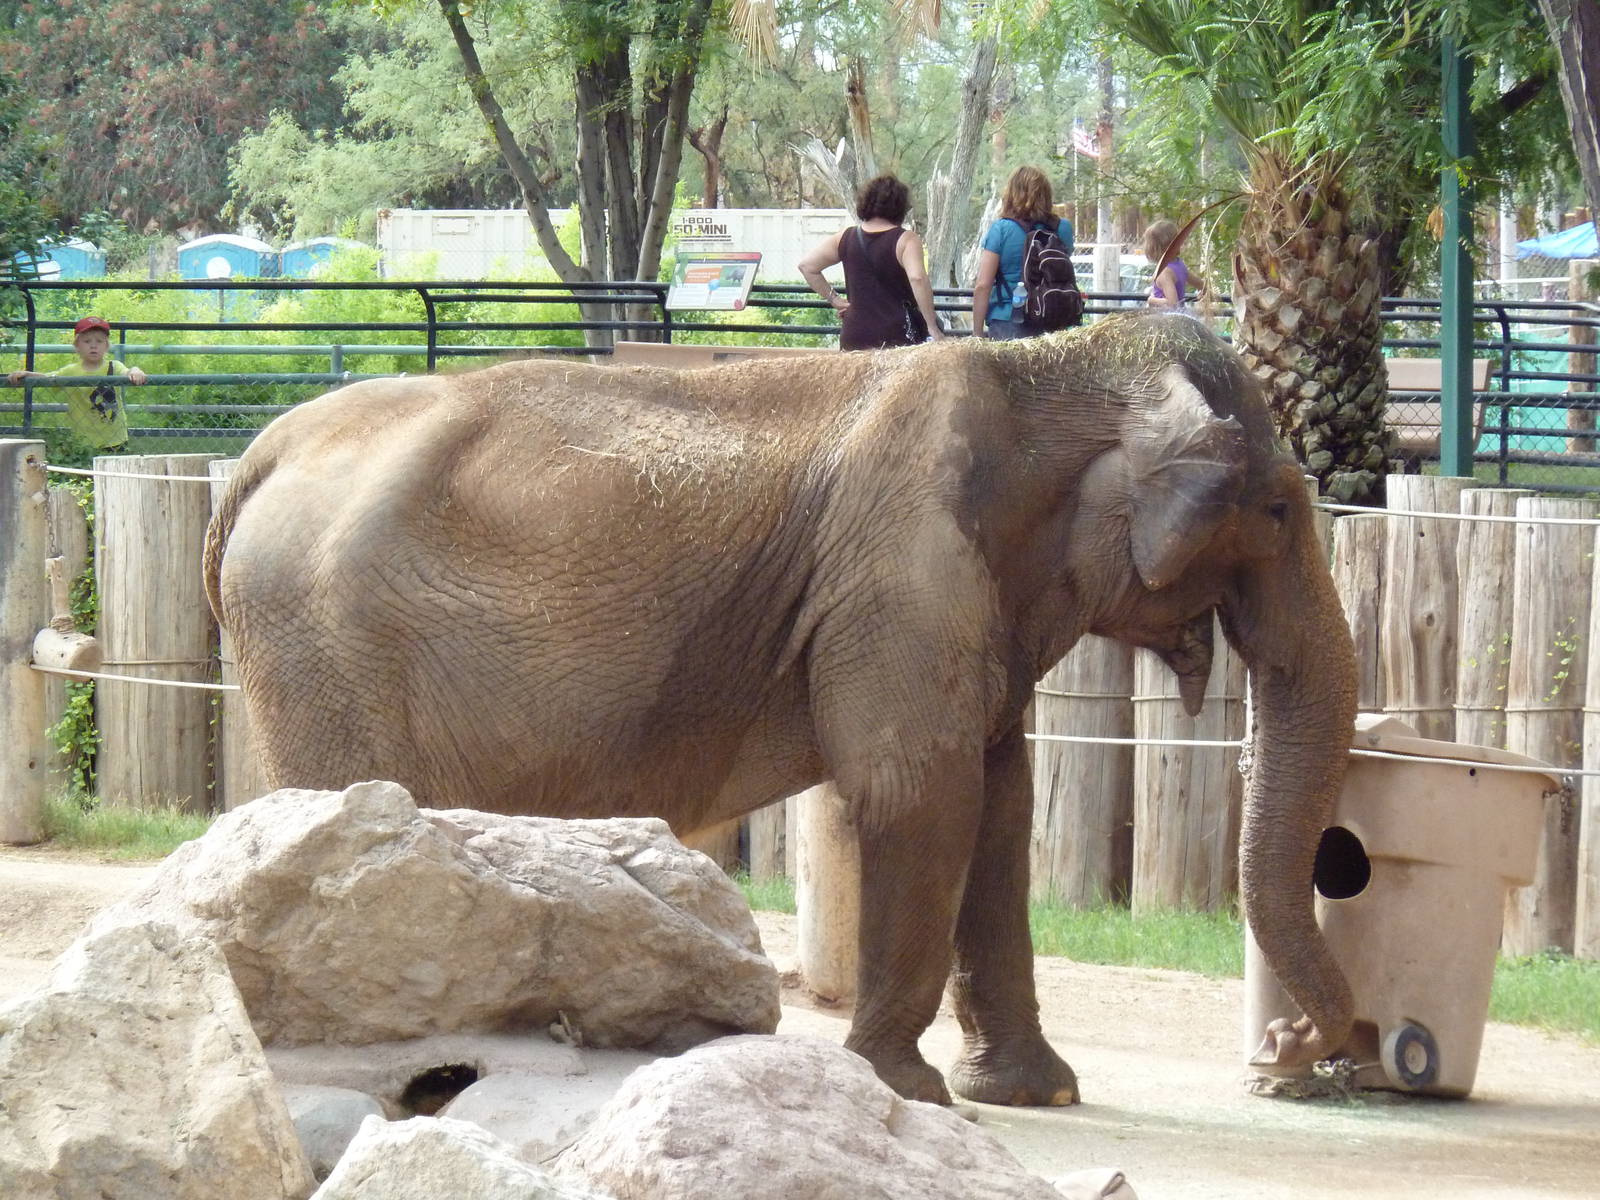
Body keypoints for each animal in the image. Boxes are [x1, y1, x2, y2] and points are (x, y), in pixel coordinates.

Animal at [204, 311, 1357, 1107]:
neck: (1046, 363)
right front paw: (905, 1092)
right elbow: (921, 793)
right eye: (1276, 510)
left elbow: (1000, 804)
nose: (1286, 1056)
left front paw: (1040, 1094)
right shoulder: (902, 573)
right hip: (324, 642)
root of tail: (262, 451)